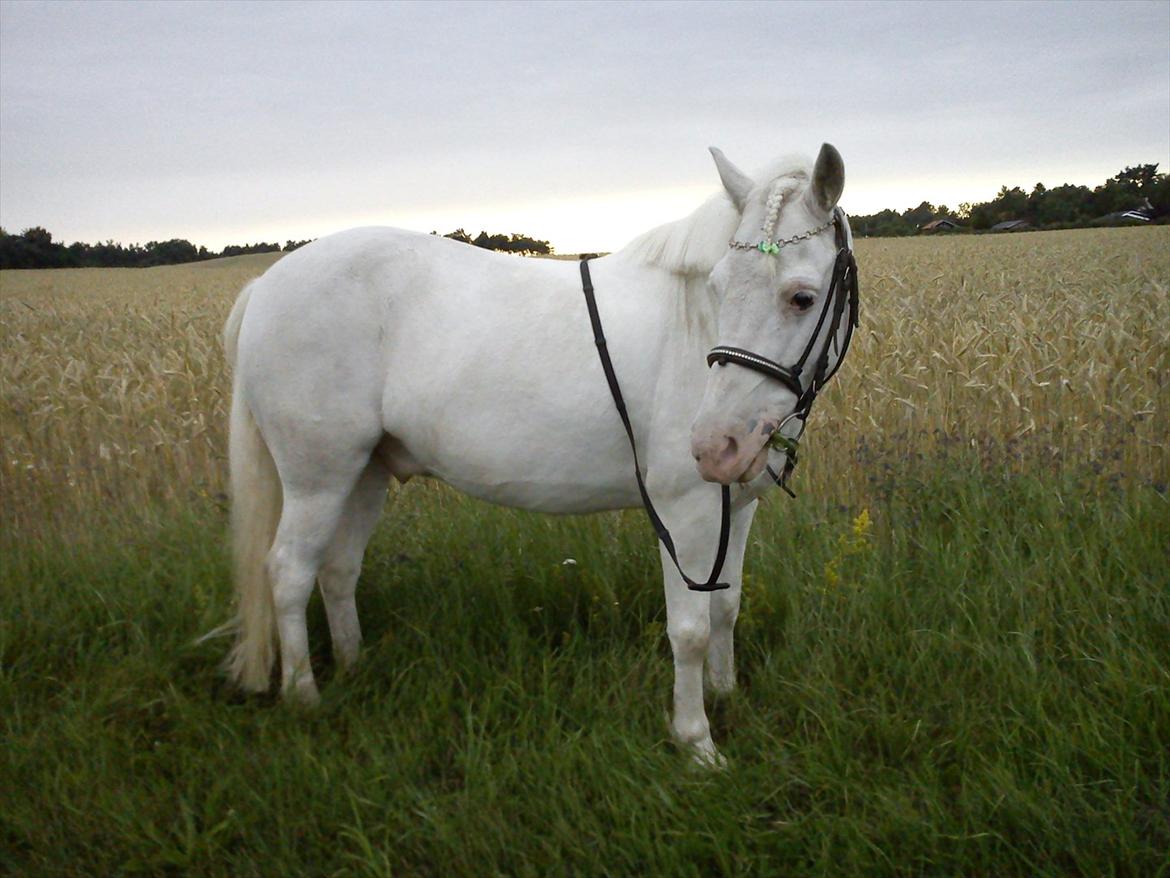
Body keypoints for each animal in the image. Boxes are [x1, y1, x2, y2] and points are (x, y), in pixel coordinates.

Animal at [223, 144, 856, 763]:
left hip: (364, 472)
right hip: (318, 478)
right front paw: (696, 740)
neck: (691, 323)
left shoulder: (737, 505)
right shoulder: (685, 512)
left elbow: (727, 607)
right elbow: (690, 630)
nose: (712, 445)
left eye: (802, 297)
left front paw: (725, 695)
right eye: (719, 286)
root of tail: (266, 286)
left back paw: (356, 669)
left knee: (337, 569)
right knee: (289, 571)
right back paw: (304, 697)